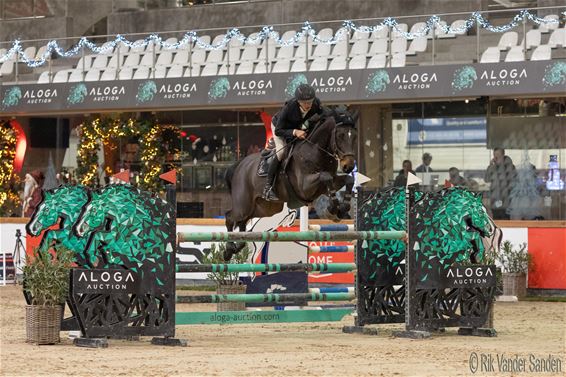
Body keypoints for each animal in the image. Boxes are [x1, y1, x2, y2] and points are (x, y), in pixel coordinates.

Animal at [224, 106, 358, 258]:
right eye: (340, 135)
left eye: (354, 136)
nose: (349, 166)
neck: (316, 150)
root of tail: (239, 165)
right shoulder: (305, 187)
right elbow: (326, 177)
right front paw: (333, 209)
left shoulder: (329, 182)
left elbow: (348, 179)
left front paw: (342, 208)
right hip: (243, 205)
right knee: (230, 217)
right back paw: (229, 250)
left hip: (264, 209)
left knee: (243, 223)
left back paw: (238, 245)